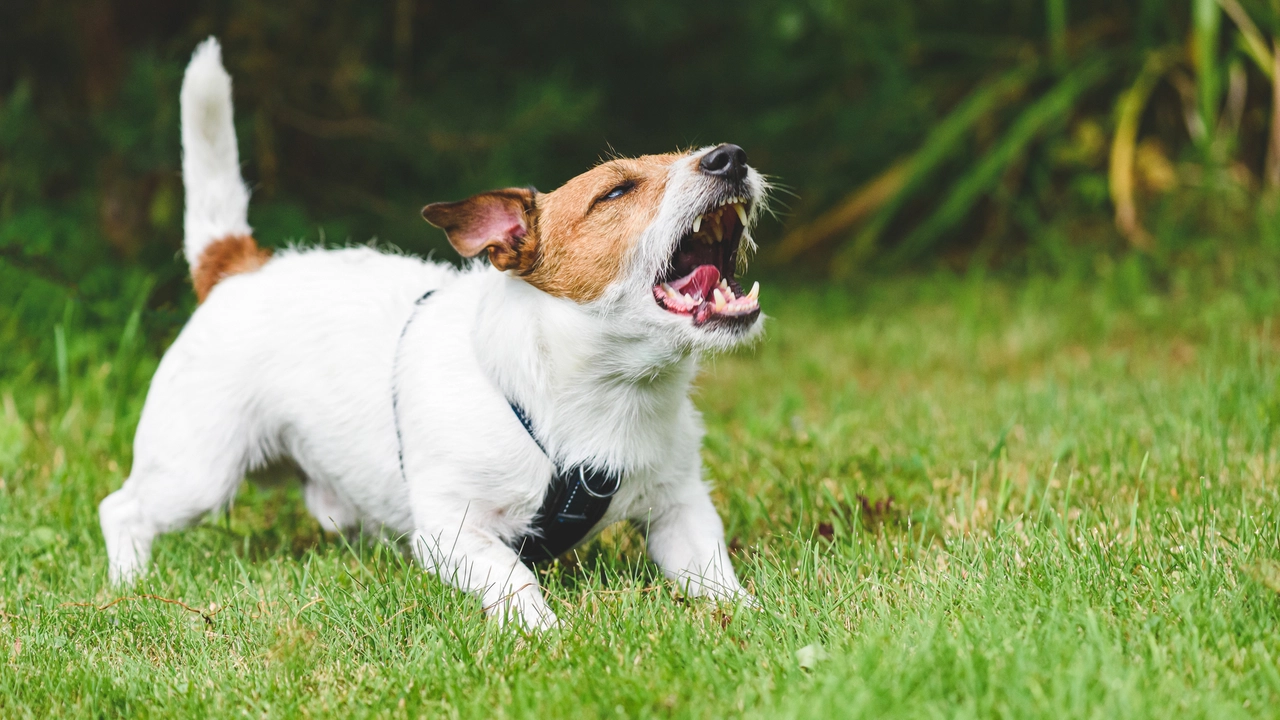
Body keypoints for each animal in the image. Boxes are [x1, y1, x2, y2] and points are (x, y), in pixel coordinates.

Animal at [99, 37, 762, 627]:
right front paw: (545, 632)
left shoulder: (680, 508)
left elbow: (712, 571)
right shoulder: (454, 531)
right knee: (121, 509)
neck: (603, 392)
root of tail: (238, 265)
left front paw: (753, 619)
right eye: (616, 191)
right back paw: (130, 583)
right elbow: (514, 576)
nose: (731, 155)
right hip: (196, 472)